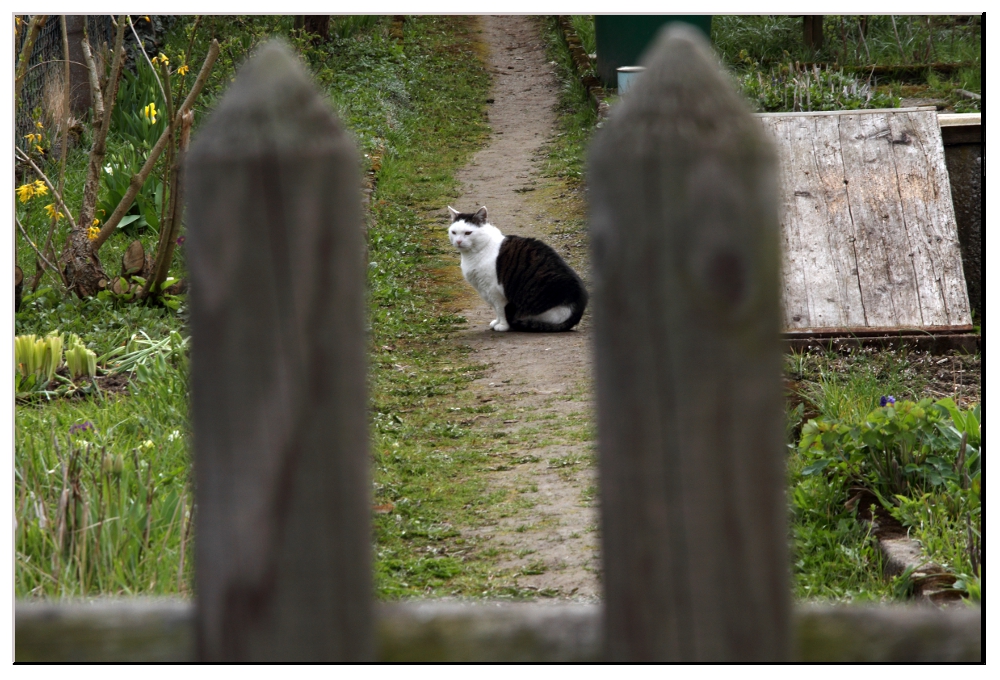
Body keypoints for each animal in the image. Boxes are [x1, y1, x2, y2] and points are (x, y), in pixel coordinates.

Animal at [446, 207, 584, 334]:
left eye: (468, 233)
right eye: (454, 232)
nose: (458, 241)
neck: (475, 253)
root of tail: (579, 307)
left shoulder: (494, 291)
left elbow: (500, 309)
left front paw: (502, 325)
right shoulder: (487, 290)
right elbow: (496, 310)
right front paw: (496, 322)